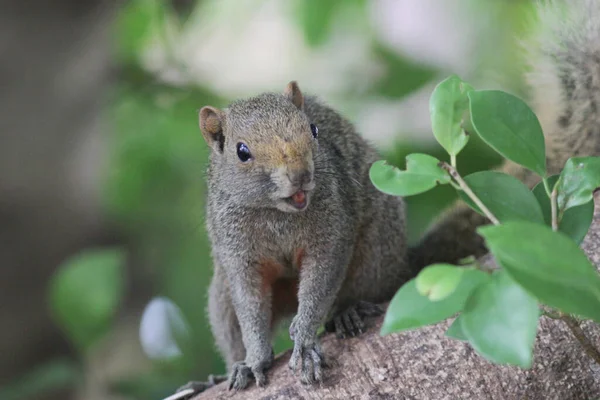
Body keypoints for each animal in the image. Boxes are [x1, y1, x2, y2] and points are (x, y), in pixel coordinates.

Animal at [175, 0, 600, 396]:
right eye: (242, 152)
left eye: (313, 129)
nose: (301, 175)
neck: (278, 214)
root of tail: (403, 263)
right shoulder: (238, 252)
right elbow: (249, 307)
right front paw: (255, 357)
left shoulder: (332, 228)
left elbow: (320, 283)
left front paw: (306, 339)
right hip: (219, 295)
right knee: (231, 319)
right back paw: (225, 371)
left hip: (375, 249)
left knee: (363, 290)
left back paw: (348, 312)